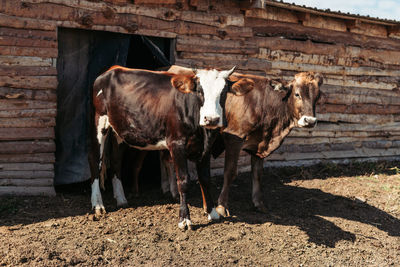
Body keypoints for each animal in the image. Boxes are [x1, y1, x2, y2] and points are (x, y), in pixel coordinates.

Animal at [88, 65, 239, 230]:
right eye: (199, 91)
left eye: (223, 92)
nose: (211, 119)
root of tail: (112, 69)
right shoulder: (176, 143)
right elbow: (183, 181)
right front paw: (184, 220)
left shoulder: (206, 148)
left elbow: (205, 178)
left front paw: (212, 212)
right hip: (99, 121)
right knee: (95, 161)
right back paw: (98, 205)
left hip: (120, 131)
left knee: (116, 161)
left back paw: (121, 198)